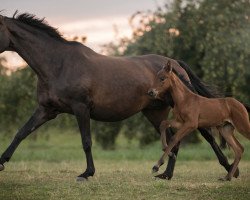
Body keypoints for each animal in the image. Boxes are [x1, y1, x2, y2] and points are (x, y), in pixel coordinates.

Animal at [0, 13, 234, 180]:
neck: (59, 64)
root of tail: (174, 64)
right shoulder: (46, 110)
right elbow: (21, 133)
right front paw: (2, 162)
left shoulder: (80, 108)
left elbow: (86, 141)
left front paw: (87, 173)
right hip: (155, 113)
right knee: (173, 140)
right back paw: (166, 175)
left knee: (206, 135)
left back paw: (230, 168)